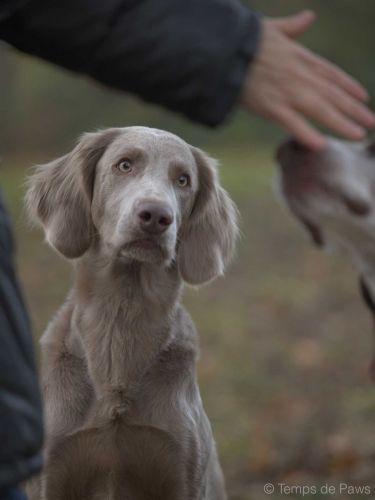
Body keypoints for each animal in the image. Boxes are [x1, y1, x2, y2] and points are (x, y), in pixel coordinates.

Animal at [26, 127, 239, 498]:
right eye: (124, 165)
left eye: (183, 180)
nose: (155, 216)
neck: (122, 316)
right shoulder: (50, 475)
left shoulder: (183, 472)